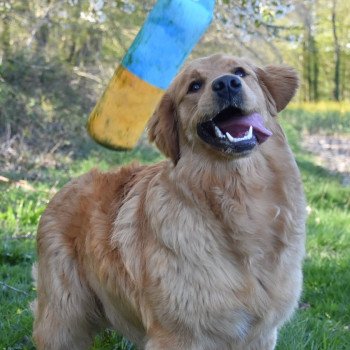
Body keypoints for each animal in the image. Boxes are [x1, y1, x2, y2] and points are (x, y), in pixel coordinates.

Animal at [33, 53, 306, 348]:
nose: (226, 84)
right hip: (64, 320)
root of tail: (64, 187)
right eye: (194, 86)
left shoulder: (261, 333)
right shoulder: (178, 334)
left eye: (240, 72)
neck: (239, 196)